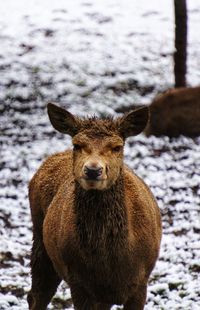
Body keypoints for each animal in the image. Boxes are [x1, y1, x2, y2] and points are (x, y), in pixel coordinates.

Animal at [27, 104, 162, 310]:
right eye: (77, 144)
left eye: (117, 147)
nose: (92, 170)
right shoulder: (78, 283)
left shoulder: (142, 281)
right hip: (39, 234)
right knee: (37, 294)